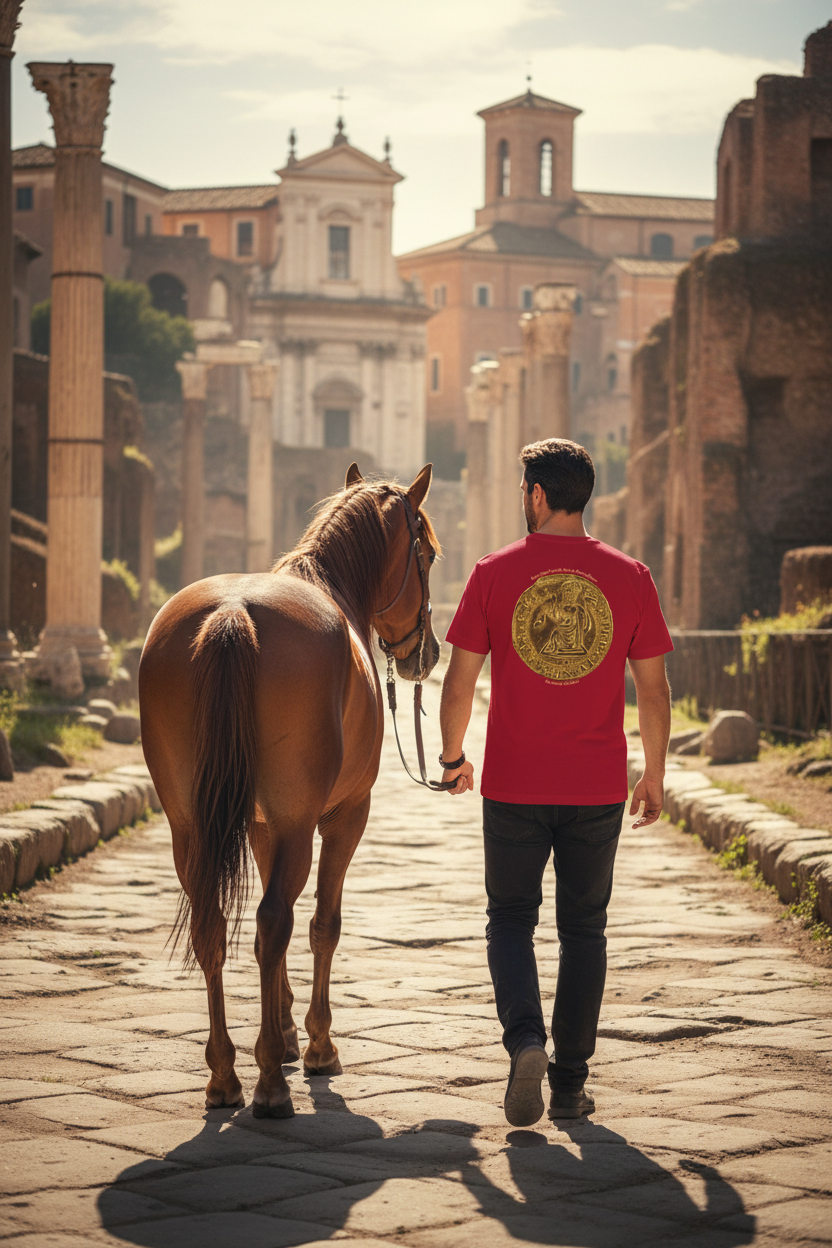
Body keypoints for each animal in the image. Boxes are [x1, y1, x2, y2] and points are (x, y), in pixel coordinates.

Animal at [139, 463, 441, 1118]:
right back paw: (271, 1088)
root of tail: (232, 614)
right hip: (302, 821)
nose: (426, 653)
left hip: (188, 825)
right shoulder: (342, 815)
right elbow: (322, 922)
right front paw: (315, 1044)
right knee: (275, 919)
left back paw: (225, 1075)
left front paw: (279, 1034)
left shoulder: (259, 822)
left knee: (213, 926)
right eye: (428, 554)